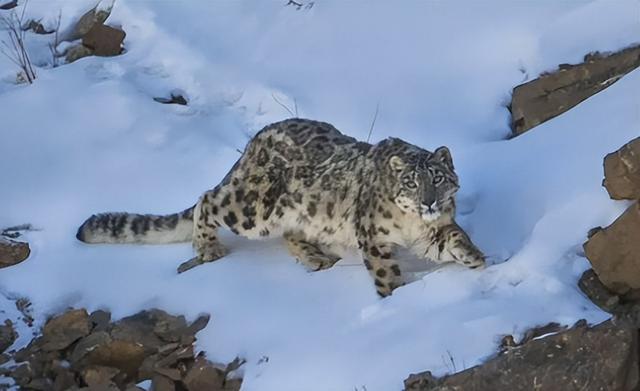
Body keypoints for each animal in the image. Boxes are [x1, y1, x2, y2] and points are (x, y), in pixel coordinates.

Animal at [76, 118, 484, 298]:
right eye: (411, 183)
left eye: (438, 178)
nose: (428, 201)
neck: (413, 224)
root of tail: (255, 142)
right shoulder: (374, 238)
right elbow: (385, 273)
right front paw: (396, 297)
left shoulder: (431, 232)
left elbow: (452, 237)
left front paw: (477, 258)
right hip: (250, 208)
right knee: (207, 199)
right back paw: (208, 248)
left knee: (291, 233)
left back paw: (316, 257)